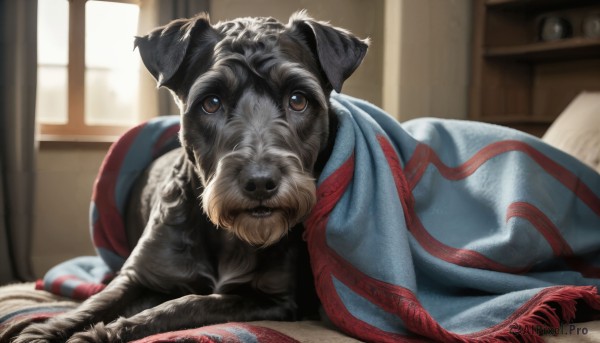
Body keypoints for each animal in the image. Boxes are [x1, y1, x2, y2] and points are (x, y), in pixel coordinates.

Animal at [14, 11, 368, 343]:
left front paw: (103, 333)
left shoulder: (273, 299)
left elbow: (189, 303)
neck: (230, 236)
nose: (260, 182)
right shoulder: (139, 275)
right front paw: (46, 330)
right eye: (211, 103)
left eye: (298, 99)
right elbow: (97, 302)